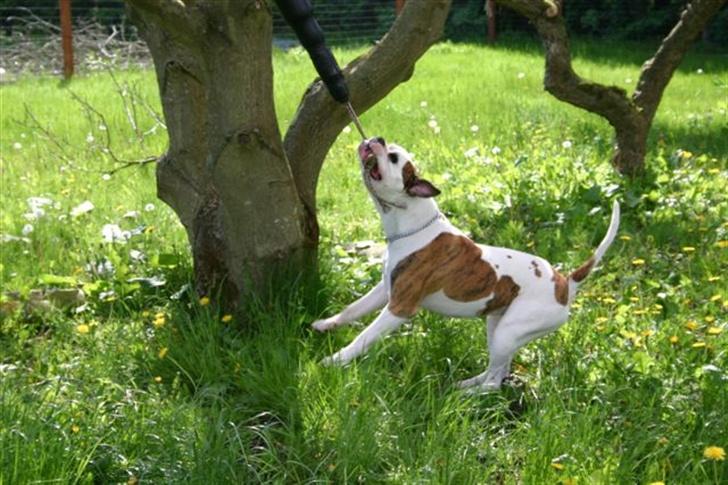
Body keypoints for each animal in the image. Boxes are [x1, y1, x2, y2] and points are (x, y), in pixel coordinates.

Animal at [312, 135, 620, 390]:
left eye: (394, 158)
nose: (377, 139)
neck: (411, 222)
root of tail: (565, 283)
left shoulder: (400, 307)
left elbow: (363, 337)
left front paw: (333, 361)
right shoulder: (384, 291)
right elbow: (352, 310)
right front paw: (325, 324)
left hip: (509, 330)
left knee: (495, 382)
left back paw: (463, 395)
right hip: (498, 326)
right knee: (499, 369)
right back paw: (464, 384)